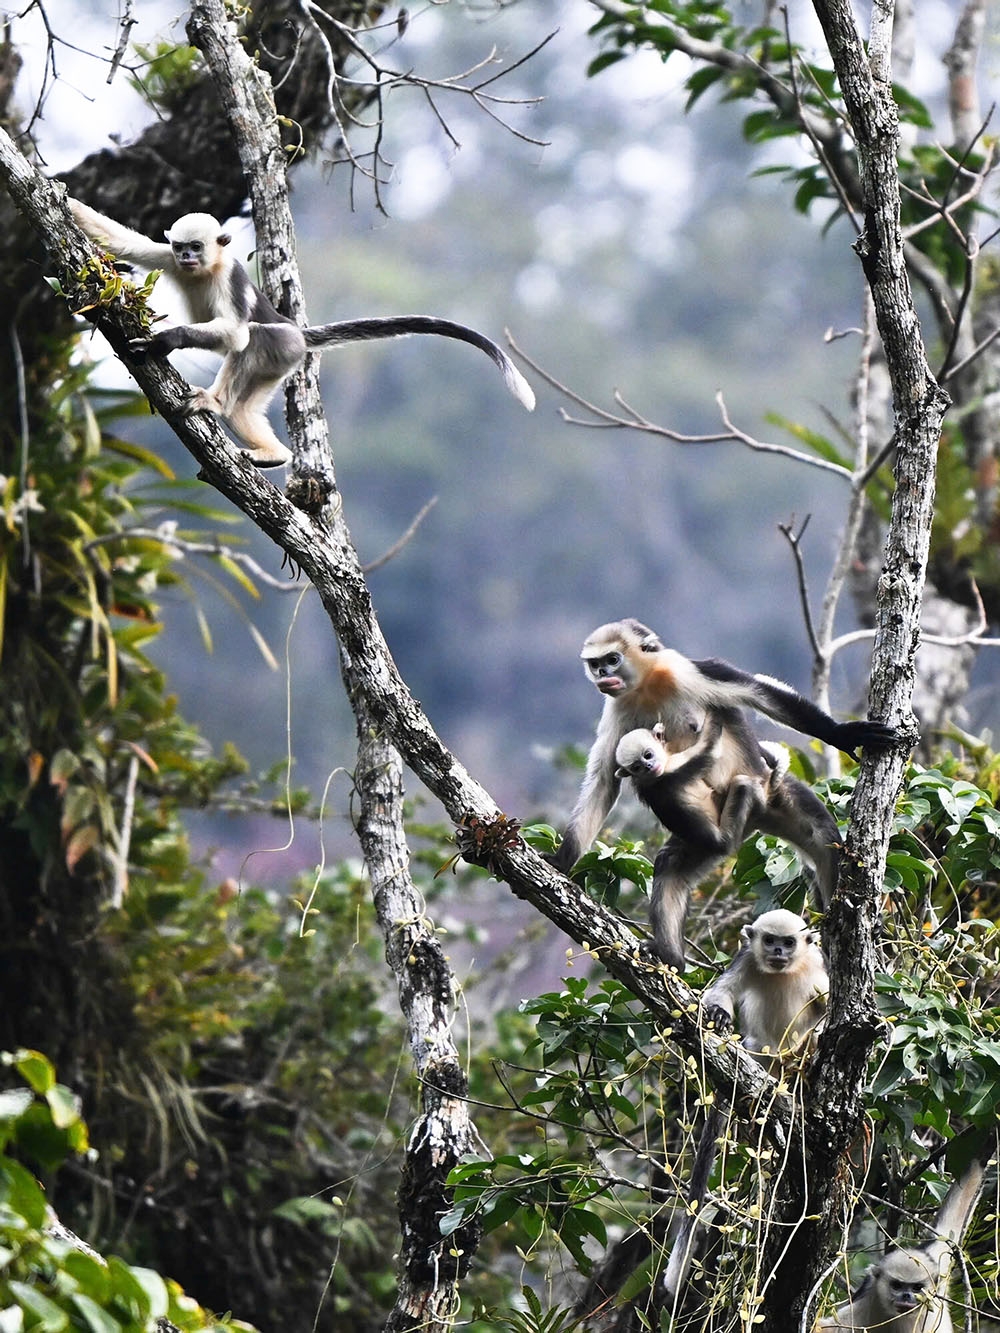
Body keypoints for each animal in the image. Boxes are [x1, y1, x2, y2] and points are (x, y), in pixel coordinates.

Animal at [67, 200, 535, 468]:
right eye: (182, 247)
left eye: (196, 247)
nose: (185, 257)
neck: (206, 270)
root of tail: (298, 332)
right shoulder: (163, 255)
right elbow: (123, 243)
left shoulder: (229, 279)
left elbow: (235, 335)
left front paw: (167, 340)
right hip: (278, 368)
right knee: (243, 410)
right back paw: (274, 454)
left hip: (282, 348)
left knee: (252, 339)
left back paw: (216, 403)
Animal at [552, 618, 898, 968]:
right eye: (595, 663)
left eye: (612, 659)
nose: (600, 674)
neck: (647, 686)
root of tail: (756, 817)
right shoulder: (618, 709)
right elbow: (603, 781)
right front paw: (561, 862)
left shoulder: (689, 670)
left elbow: (761, 694)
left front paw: (843, 735)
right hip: (715, 830)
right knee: (670, 865)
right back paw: (670, 957)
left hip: (772, 793)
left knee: (824, 840)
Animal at [663, 910, 829, 1307]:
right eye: (770, 941)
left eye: (789, 943)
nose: (779, 952)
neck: (785, 972)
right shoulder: (747, 959)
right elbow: (720, 992)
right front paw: (719, 1015)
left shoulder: (817, 963)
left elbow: (826, 1003)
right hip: (760, 1055)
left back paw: (806, 1056)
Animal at [818, 1157, 987, 1332]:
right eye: (897, 1286)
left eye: (917, 1288)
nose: (906, 1296)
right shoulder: (870, 1294)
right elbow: (829, 1327)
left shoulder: (938, 1258)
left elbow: (961, 1198)